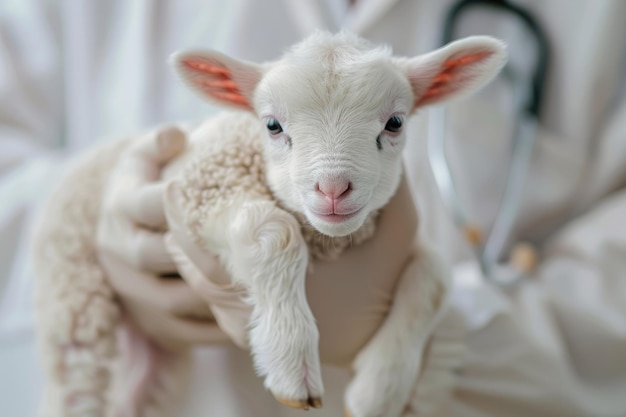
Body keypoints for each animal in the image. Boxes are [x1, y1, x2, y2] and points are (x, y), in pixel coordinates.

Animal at [31, 30, 504, 416]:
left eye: (395, 122)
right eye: (273, 125)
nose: (333, 188)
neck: (330, 242)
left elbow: (434, 278)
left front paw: (380, 391)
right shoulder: (202, 190)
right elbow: (270, 234)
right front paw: (293, 366)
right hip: (73, 290)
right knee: (76, 376)